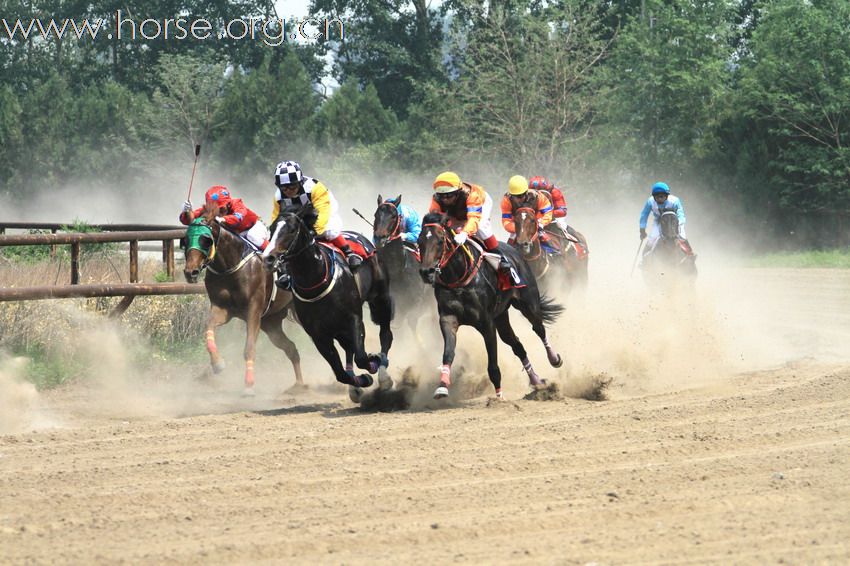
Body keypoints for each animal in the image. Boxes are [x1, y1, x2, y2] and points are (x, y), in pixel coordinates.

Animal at [181, 202, 304, 398]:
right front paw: (217, 363)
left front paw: (249, 386)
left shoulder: (253, 309)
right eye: (185, 240)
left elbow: (249, 348)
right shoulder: (222, 308)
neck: (231, 266)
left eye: (205, 240)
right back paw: (299, 385)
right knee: (290, 348)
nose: (190, 272)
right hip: (272, 323)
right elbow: (208, 328)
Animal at [262, 204, 394, 404]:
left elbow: (362, 358)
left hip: (380, 298)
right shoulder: (319, 335)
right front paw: (361, 380)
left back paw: (384, 374)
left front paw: (374, 362)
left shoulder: (354, 319)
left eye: (291, 229)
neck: (315, 279)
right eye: (271, 229)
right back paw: (355, 388)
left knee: (385, 334)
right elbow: (340, 372)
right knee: (348, 348)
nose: (268, 258)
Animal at [418, 211, 564, 402]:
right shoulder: (448, 318)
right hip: (501, 317)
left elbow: (493, 364)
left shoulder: (487, 323)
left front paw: (499, 397)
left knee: (539, 328)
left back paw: (554, 359)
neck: (459, 279)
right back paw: (536, 381)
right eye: (419, 241)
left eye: (440, 240)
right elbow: (448, 353)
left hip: (528, 303)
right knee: (517, 345)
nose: (426, 272)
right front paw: (442, 387)